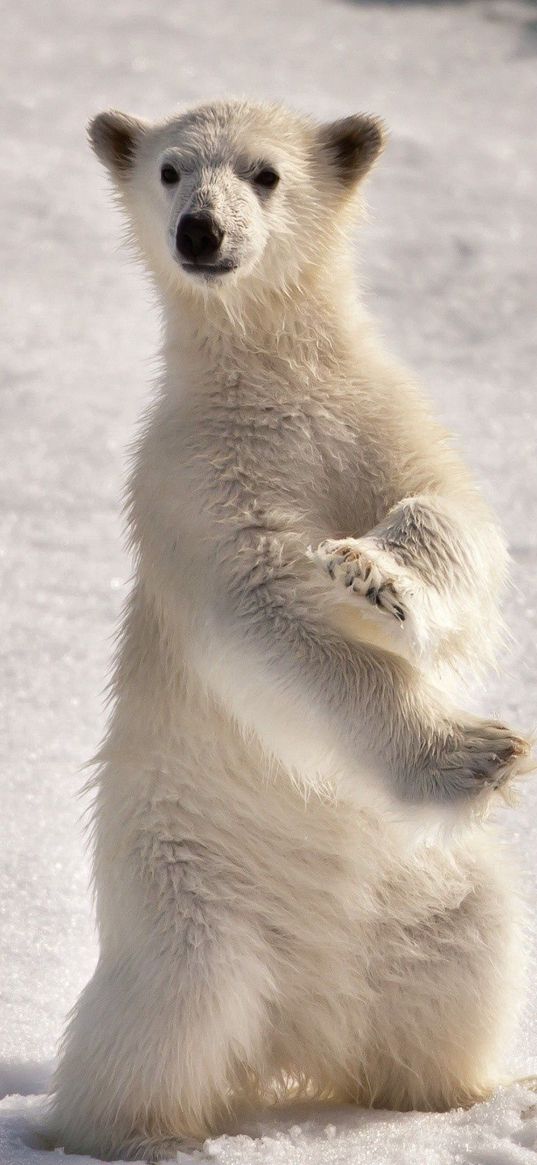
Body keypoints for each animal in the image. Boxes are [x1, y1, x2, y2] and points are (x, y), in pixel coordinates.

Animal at [47, 97, 531, 1155]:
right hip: (186, 886)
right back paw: (130, 1131)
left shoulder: (376, 417)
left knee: (462, 968)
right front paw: (473, 752)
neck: (271, 379)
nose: (201, 233)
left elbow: (455, 521)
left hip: (432, 895)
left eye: (265, 174)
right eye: (170, 170)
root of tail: (300, 1028)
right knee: (165, 1018)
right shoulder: (195, 477)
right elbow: (264, 611)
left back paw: (457, 1094)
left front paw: (375, 576)